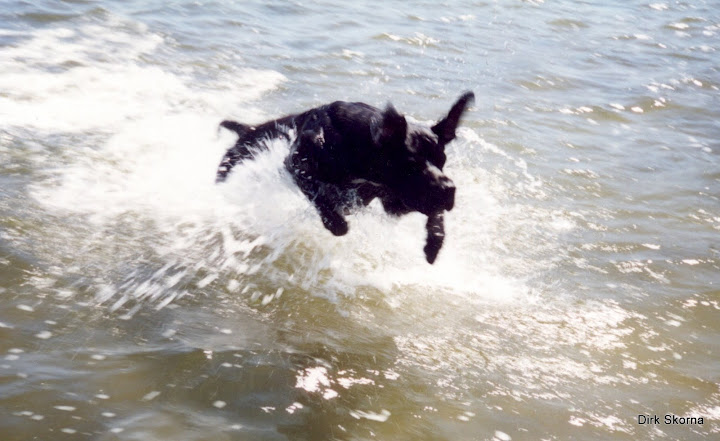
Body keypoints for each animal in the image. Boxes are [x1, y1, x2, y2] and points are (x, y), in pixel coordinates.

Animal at [215, 90, 472, 262]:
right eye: (411, 165)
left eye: (443, 161)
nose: (449, 189)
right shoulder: (297, 166)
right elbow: (323, 201)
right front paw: (336, 220)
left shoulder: (395, 200)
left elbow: (434, 213)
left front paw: (435, 240)